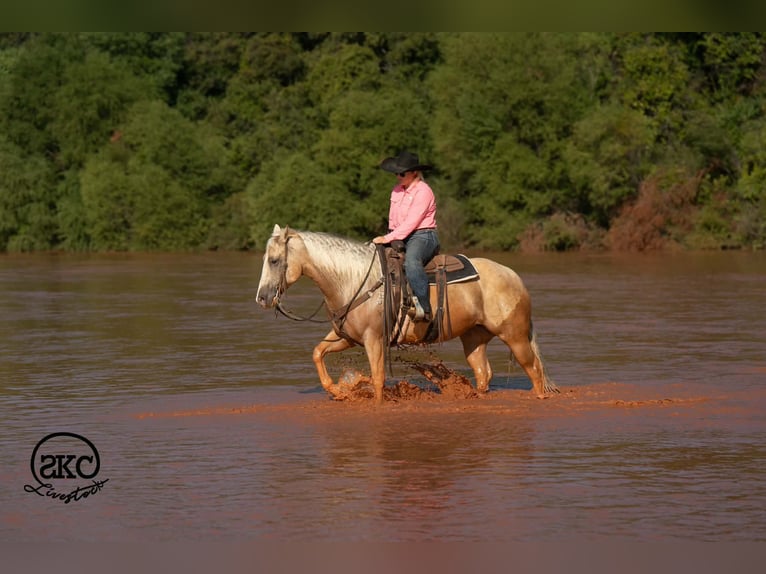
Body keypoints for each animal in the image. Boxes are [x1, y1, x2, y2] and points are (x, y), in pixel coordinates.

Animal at [255, 224, 558, 403]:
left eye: (274, 260)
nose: (262, 298)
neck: (354, 280)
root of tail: (513, 276)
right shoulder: (347, 337)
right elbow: (317, 353)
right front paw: (338, 390)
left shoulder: (374, 339)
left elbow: (378, 379)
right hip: (474, 337)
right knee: (484, 372)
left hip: (514, 336)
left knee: (533, 369)